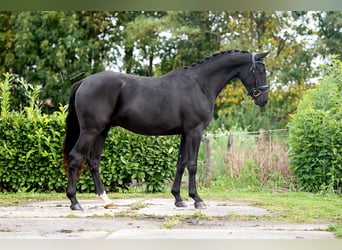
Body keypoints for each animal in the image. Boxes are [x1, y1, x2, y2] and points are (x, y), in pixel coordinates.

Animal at [62, 48, 270, 209]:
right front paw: (197, 199)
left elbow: (181, 163)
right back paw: (74, 202)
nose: (264, 100)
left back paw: (106, 200)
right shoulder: (195, 132)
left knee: (93, 161)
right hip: (90, 131)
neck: (200, 84)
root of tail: (83, 82)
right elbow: (192, 165)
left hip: (102, 131)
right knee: (76, 157)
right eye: (259, 70)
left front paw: (178, 198)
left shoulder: (185, 133)